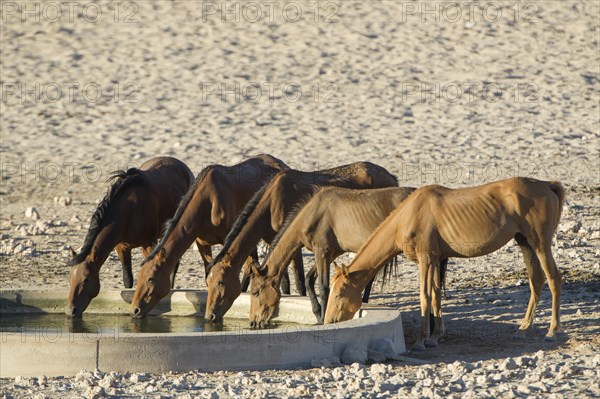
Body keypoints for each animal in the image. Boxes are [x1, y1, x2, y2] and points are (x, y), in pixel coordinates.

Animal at [68, 158, 195, 318]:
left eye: (85, 280)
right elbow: (128, 280)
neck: (128, 210)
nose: (71, 310)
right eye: (70, 277)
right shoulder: (121, 247)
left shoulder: (148, 244)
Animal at [131, 154, 288, 318]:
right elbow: (209, 275)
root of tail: (282, 165)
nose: (136, 310)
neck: (209, 202)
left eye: (151, 279)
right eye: (139, 277)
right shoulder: (202, 243)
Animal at [205, 162, 398, 322]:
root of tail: (391, 177)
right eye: (208, 282)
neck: (273, 202)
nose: (210, 316)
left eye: (221, 282)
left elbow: (297, 282)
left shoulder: (295, 247)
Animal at [248, 186, 418, 326]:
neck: (312, 213)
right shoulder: (331, 253)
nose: (253, 322)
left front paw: (323, 319)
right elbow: (310, 279)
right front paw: (318, 314)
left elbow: (324, 287)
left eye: (255, 292)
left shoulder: (322, 251)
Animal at [326, 177, 564, 352]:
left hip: (540, 244)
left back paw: (552, 331)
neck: (409, 215)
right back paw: (524, 327)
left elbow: (425, 296)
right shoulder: (435, 259)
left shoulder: (425, 259)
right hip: (525, 243)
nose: (329, 322)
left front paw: (421, 341)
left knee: (553, 279)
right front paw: (436, 336)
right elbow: (436, 293)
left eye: (339, 294)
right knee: (536, 280)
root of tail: (547, 185)